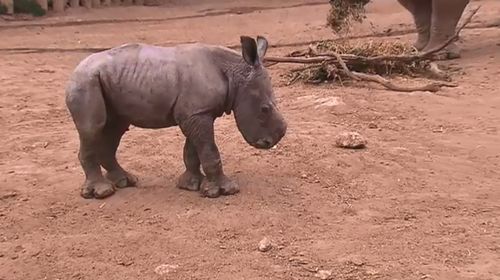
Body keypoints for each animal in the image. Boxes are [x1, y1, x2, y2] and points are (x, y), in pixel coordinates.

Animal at [64, 35, 288, 199]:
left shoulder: (196, 112)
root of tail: (75, 70)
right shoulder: (196, 114)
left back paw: (125, 182)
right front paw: (224, 191)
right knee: (93, 128)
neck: (235, 73)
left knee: (115, 128)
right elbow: (210, 151)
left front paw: (191, 185)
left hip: (105, 81)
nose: (271, 142)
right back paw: (102, 192)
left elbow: (192, 150)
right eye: (265, 109)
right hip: (85, 81)